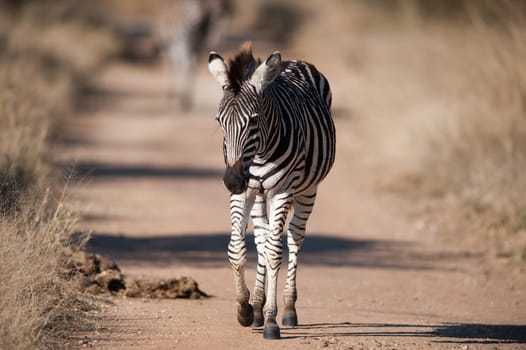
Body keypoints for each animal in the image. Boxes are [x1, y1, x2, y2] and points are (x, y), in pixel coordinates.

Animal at [208, 41, 336, 340]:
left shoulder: (282, 191)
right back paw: (257, 306)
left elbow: (276, 251)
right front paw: (245, 309)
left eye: (253, 120)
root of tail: (293, 61)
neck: (260, 153)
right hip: (257, 193)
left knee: (293, 237)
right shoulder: (243, 192)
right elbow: (237, 249)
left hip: (308, 189)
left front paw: (271, 321)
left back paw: (287, 309)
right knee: (262, 239)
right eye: (219, 121)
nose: (232, 180)